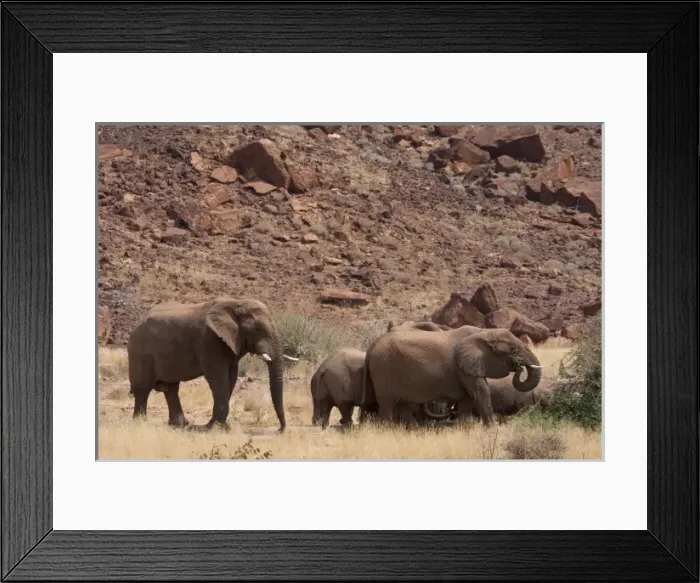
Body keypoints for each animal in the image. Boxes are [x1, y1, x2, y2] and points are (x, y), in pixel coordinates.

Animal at [127, 296, 298, 432]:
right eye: (257, 329)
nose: (280, 429)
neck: (237, 303)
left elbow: (231, 378)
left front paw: (217, 426)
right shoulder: (209, 342)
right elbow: (218, 379)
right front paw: (217, 428)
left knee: (171, 388)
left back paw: (180, 425)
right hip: (140, 353)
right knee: (143, 388)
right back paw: (140, 422)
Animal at [361, 327, 543, 426]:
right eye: (514, 349)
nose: (519, 365)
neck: (484, 332)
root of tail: (372, 346)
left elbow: (469, 397)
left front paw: (466, 428)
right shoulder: (464, 366)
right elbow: (481, 391)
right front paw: (493, 428)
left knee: (402, 405)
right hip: (384, 369)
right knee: (387, 404)